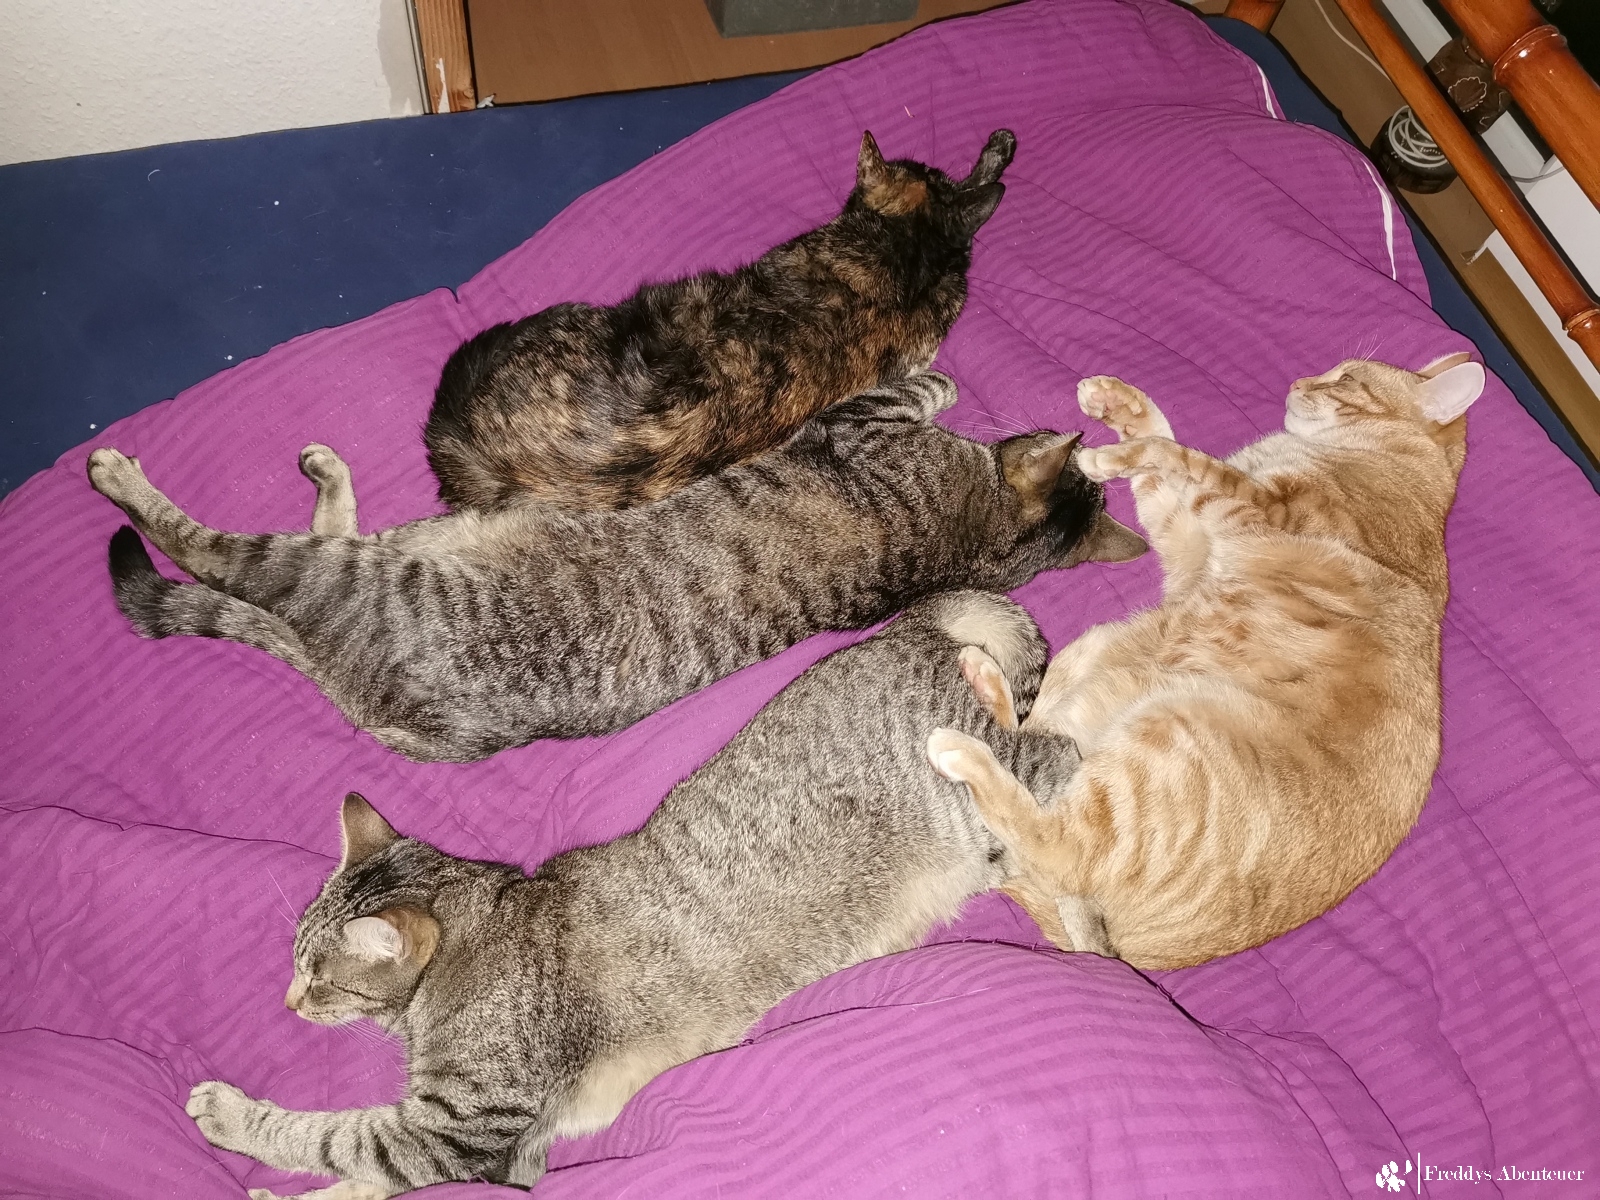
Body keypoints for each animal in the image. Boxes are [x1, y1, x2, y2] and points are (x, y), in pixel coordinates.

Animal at [87, 372, 1146, 763]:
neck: (977, 539)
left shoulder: (862, 419)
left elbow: (914, 383)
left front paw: (943, 378)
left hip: (355, 576)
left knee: (217, 551)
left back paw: (122, 476)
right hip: (419, 541)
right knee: (336, 532)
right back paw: (327, 473)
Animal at [185, 591, 1060, 1198]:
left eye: (321, 978)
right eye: (296, 964)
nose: (289, 1002)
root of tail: (905, 628)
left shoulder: (453, 1131)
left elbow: (333, 1138)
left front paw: (229, 1116)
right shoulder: (495, 1151)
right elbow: (363, 1182)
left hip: (1009, 777)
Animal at [925, 356, 1485, 970]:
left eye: (1345, 381)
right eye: (1332, 371)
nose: (1298, 383)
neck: (1386, 461)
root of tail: (1139, 953)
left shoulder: (1252, 506)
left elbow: (1176, 454)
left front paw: (1106, 456)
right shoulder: (1190, 535)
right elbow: (1162, 450)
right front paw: (1118, 403)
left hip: (1164, 733)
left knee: (1054, 843)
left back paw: (958, 748)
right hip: (1095, 656)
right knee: (1028, 736)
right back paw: (983, 677)